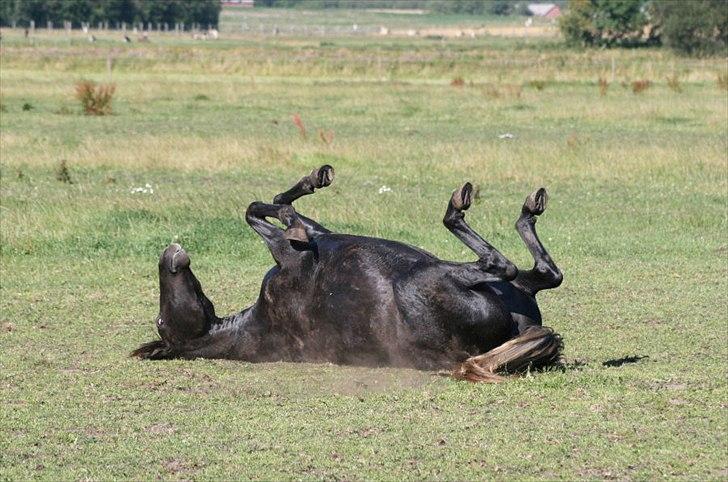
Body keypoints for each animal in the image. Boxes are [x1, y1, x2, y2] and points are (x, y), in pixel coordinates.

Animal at [132, 168, 564, 382]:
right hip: (437, 279)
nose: (169, 255)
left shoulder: (311, 238)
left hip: (515, 288)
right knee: (501, 264)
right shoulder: (287, 259)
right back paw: (464, 209)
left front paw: (311, 182)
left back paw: (529, 209)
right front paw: (296, 212)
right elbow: (267, 214)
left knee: (546, 273)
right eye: (161, 321)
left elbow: (263, 206)